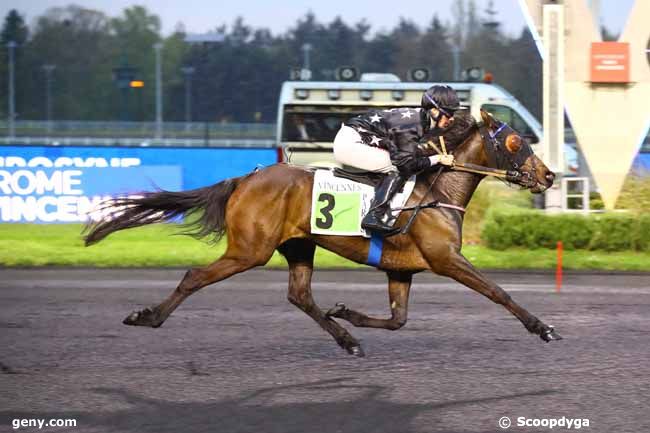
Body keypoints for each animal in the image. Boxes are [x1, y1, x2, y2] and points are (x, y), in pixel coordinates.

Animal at [85, 109, 560, 356]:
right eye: (515, 143)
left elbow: (397, 319)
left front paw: (347, 312)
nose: (550, 176)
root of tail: (245, 179)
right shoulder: (446, 259)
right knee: (194, 276)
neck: (437, 191)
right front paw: (543, 328)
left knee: (300, 296)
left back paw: (347, 339)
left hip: (298, 245)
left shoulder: (402, 268)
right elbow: (498, 292)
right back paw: (148, 317)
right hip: (250, 250)